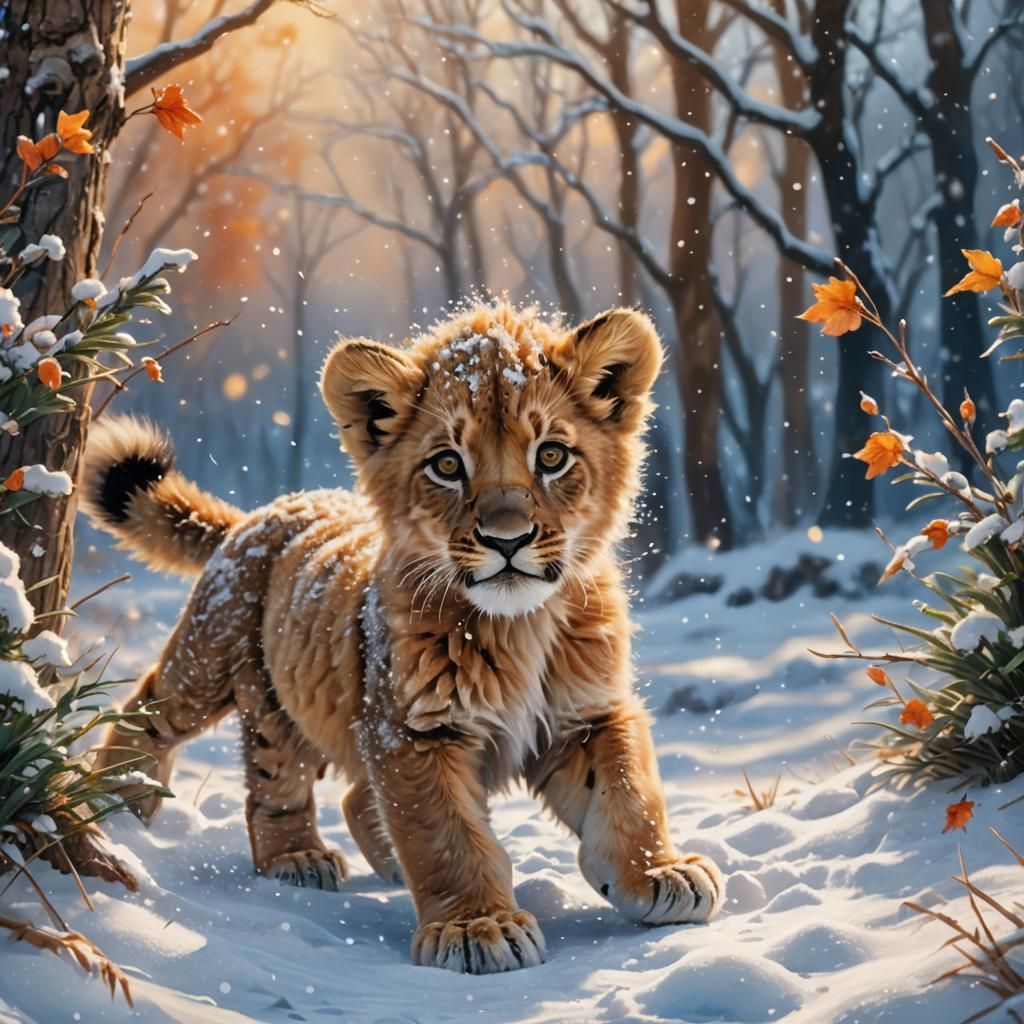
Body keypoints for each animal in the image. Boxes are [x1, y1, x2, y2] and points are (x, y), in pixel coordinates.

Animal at [84, 301, 724, 974]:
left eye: (551, 456)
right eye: (447, 465)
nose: (507, 540)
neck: (519, 625)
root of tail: (265, 510)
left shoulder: (589, 712)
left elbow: (629, 791)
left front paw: (661, 874)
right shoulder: (412, 729)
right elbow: (446, 833)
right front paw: (476, 928)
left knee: (343, 794)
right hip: (217, 667)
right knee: (179, 729)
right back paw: (148, 817)